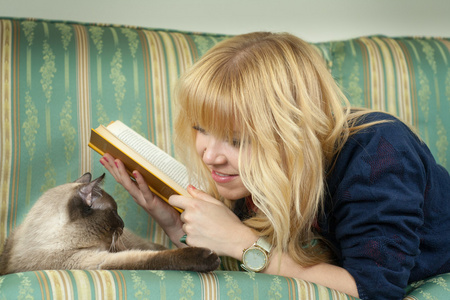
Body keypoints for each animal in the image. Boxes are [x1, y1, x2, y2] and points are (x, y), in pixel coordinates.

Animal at [0, 172, 220, 276]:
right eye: (114, 212)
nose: (123, 222)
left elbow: (156, 254)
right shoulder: (95, 262)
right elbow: (151, 259)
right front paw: (210, 258)